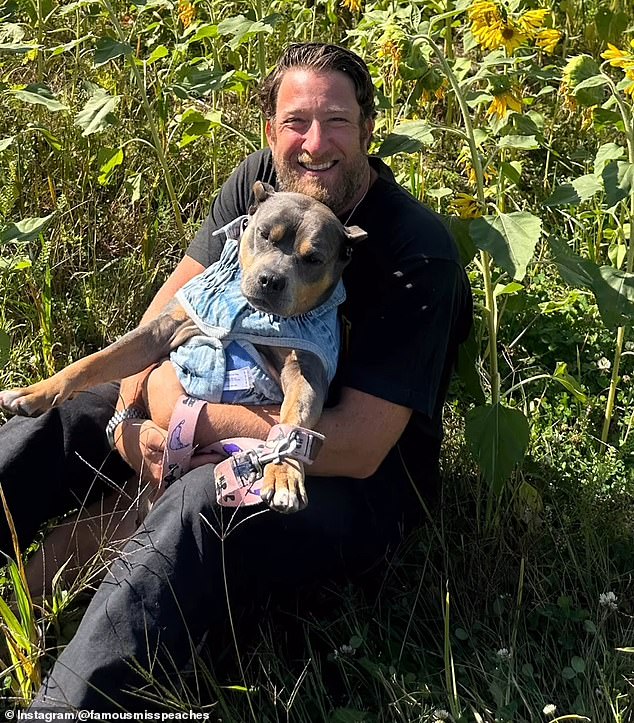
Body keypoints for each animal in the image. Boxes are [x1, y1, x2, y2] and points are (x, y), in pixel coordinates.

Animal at [0, 184, 366, 516]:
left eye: (313, 259)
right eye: (264, 234)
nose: (271, 279)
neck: (249, 314)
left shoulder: (304, 373)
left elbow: (292, 426)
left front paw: (284, 472)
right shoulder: (162, 330)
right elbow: (94, 361)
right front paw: (36, 391)